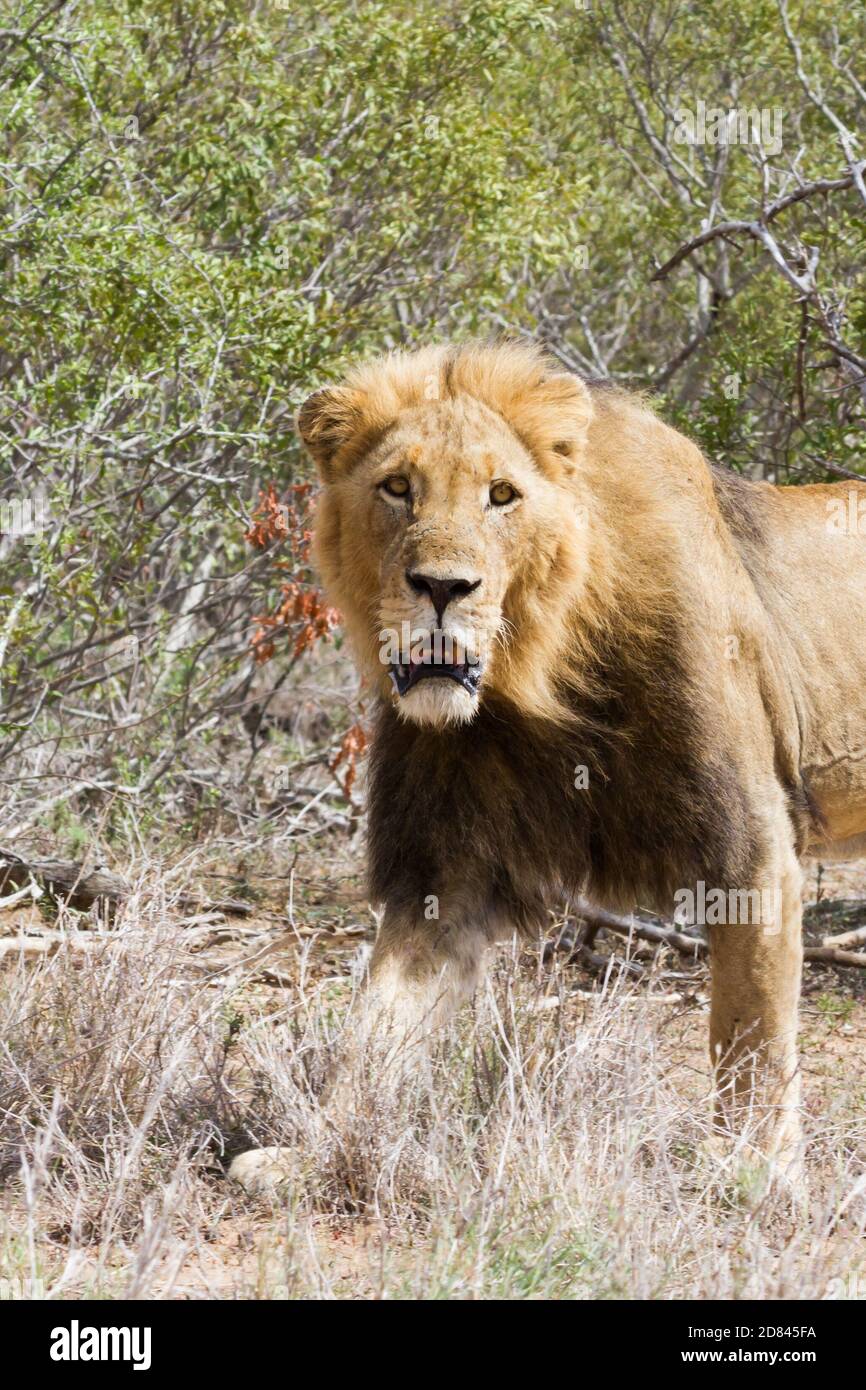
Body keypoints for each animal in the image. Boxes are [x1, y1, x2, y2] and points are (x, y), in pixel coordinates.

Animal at [229, 339, 866, 1195]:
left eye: (502, 495)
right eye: (398, 487)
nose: (442, 587)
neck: (537, 676)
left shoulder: (751, 845)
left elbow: (750, 1029)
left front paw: (757, 1171)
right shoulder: (442, 864)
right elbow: (379, 1022)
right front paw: (315, 1151)